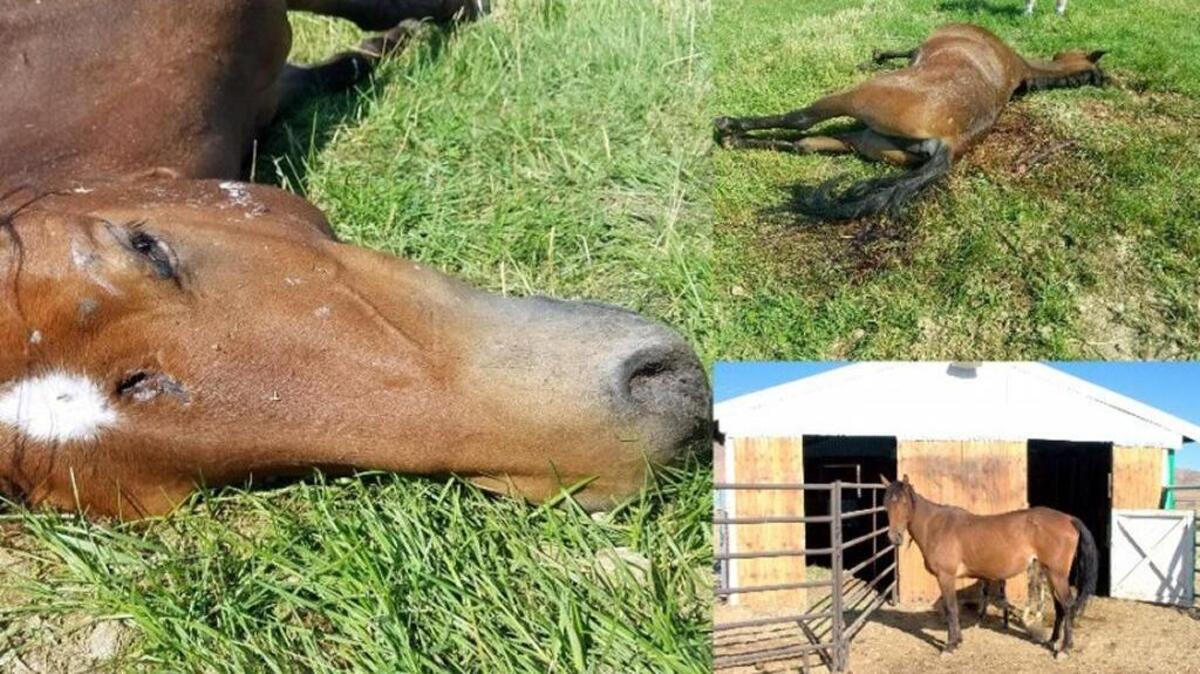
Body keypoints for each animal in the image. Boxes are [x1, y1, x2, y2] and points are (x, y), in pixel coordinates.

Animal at [713, 24, 1106, 220]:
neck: (1017, 65)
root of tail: (949, 144)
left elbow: (904, 50)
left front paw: (874, 56)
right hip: (863, 141)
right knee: (803, 145)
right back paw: (736, 140)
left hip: (853, 100)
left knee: (801, 121)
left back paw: (727, 127)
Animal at [880, 475, 1098, 658]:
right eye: (886, 504)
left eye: (904, 502)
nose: (894, 537)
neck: (937, 526)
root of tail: (1068, 519)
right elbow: (953, 609)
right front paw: (958, 641)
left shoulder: (946, 577)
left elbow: (950, 608)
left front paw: (950, 646)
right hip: (1050, 573)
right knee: (1060, 607)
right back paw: (1052, 641)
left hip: (1056, 574)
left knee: (1068, 605)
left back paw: (1064, 649)